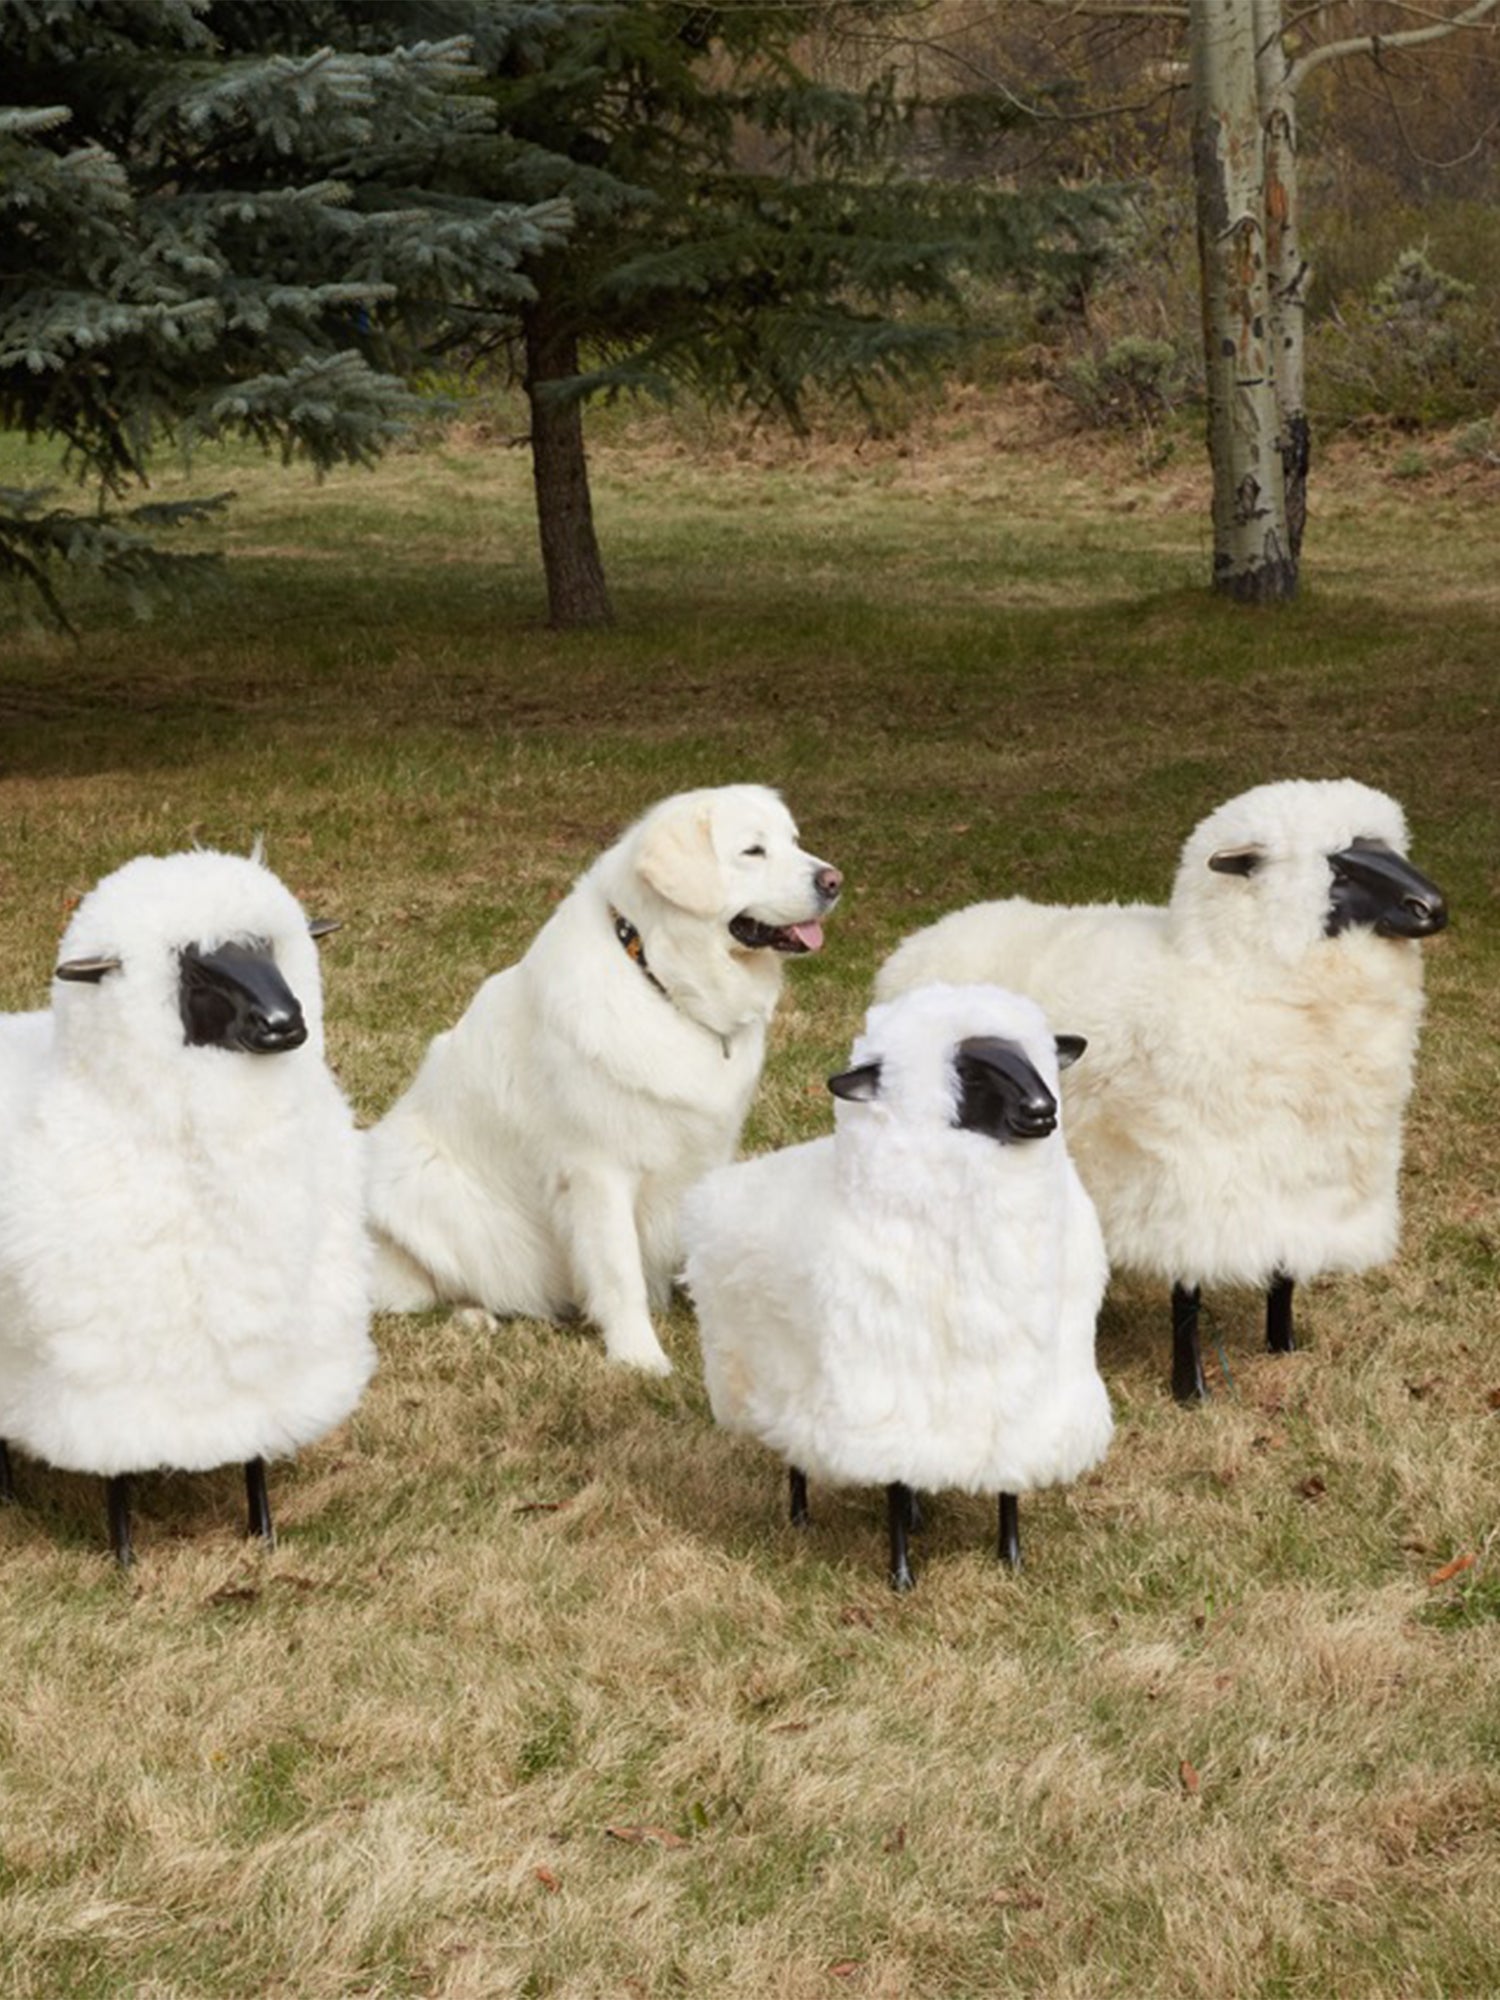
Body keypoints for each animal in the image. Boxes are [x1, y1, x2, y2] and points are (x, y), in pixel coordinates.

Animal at [0, 849, 375, 1563]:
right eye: (196, 967)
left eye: (267, 949)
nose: (285, 1025)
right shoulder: (108, 1379)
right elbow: (116, 1469)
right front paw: (124, 1558)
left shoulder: (267, 1362)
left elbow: (256, 1443)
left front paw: (263, 1531)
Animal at [681, 984, 1112, 1590]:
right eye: (968, 1071)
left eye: (1038, 1056)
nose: (1041, 1110)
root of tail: (719, 1187)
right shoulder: (885, 1394)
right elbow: (890, 1482)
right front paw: (902, 1575)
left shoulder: (1020, 1399)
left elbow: (1007, 1484)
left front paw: (1011, 1557)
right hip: (779, 1384)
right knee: (796, 1455)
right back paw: (801, 1517)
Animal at [875, 779, 1449, 1401]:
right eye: (1338, 869)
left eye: (1386, 848)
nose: (1434, 908)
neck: (1230, 975)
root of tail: (926, 936)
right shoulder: (1189, 1184)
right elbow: (1188, 1296)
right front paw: (1190, 1389)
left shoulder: (1296, 1179)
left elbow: (1284, 1273)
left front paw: (1284, 1345)